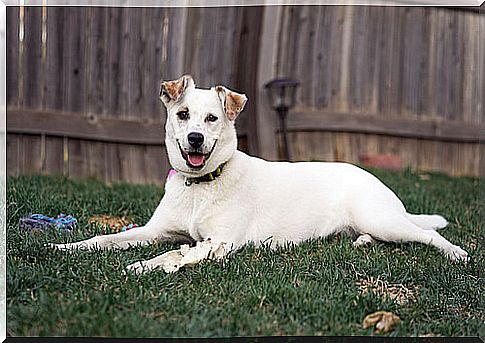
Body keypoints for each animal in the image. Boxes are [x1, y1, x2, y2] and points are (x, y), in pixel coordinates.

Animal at [50, 75, 468, 274]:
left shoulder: (220, 242)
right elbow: (106, 239)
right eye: (183, 114)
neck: (200, 185)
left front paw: (144, 266)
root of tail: (374, 179)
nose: (196, 139)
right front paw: (62, 247)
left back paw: (457, 254)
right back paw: (362, 242)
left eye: (212, 118)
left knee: (427, 235)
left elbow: (174, 253)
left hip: (381, 218)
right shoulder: (154, 230)